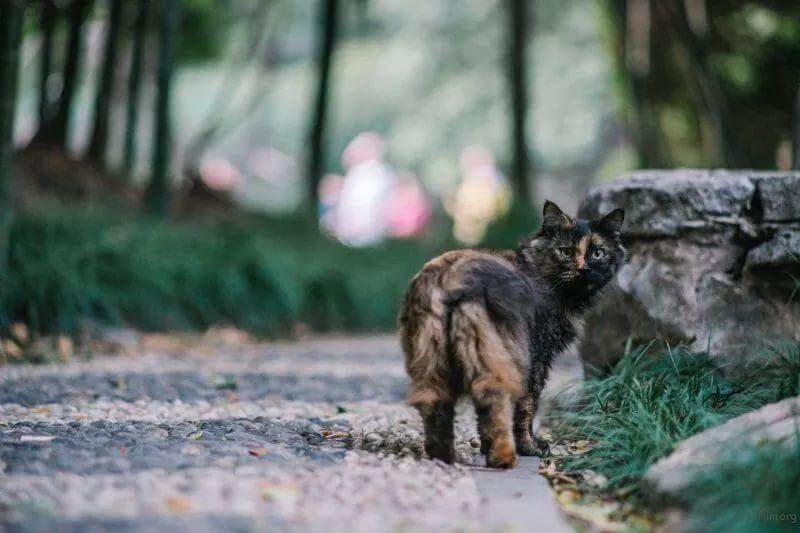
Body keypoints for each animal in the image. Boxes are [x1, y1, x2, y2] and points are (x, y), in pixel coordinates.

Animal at [400, 198, 624, 466]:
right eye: (566, 251)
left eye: (597, 253)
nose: (583, 270)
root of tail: (450, 276)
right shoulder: (536, 356)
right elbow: (528, 404)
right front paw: (531, 446)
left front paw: (487, 447)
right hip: (493, 356)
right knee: (491, 398)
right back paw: (503, 458)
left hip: (431, 362)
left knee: (433, 402)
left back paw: (444, 457)